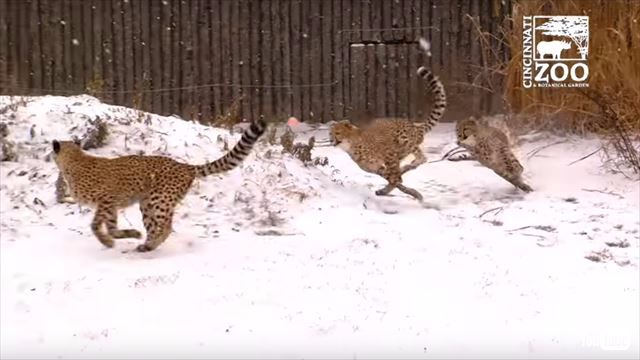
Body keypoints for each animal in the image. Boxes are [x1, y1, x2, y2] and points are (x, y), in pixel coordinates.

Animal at [51, 119, 268, 253]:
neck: (74, 161)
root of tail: (184, 165)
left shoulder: (106, 199)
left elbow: (95, 225)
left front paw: (107, 241)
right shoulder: (111, 205)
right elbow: (112, 227)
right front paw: (127, 234)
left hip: (159, 199)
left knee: (166, 226)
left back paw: (150, 245)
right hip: (147, 203)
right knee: (157, 226)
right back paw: (146, 243)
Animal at [330, 66, 444, 201]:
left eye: (337, 132)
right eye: (330, 134)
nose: (331, 140)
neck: (351, 144)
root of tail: (414, 125)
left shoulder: (389, 154)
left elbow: (395, 178)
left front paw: (409, 191)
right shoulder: (376, 168)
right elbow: (393, 179)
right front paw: (404, 191)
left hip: (404, 140)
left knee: (421, 157)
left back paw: (408, 167)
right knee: (411, 164)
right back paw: (403, 171)